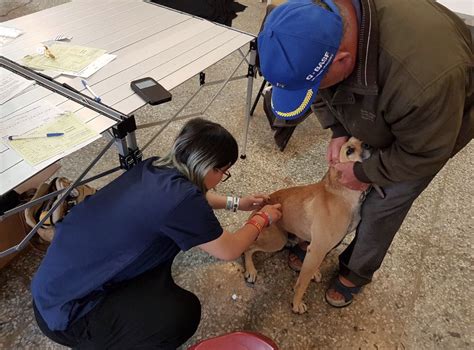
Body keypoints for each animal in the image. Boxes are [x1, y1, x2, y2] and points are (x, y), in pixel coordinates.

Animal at [244, 137, 370, 314]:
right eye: (349, 150)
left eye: (361, 140)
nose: (368, 144)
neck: (341, 193)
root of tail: (260, 207)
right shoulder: (317, 249)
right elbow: (302, 283)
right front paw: (296, 303)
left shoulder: (319, 249)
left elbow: (312, 268)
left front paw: (314, 272)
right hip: (276, 240)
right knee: (248, 248)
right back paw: (251, 270)